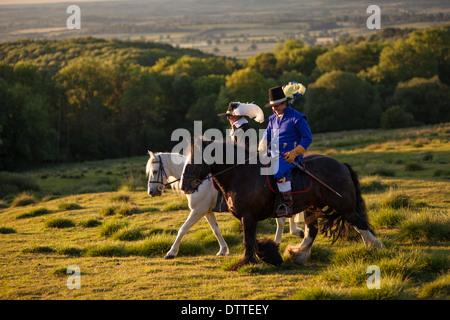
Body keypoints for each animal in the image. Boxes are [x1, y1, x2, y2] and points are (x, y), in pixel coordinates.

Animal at [181, 139, 382, 268]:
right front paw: (270, 255)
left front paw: (246, 262)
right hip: (313, 207)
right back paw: (299, 253)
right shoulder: (247, 218)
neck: (241, 174)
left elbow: (248, 241)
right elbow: (251, 239)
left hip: (344, 206)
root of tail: (342, 165)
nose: (184, 186)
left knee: (360, 224)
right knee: (312, 230)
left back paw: (374, 248)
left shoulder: (248, 216)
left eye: (194, 160)